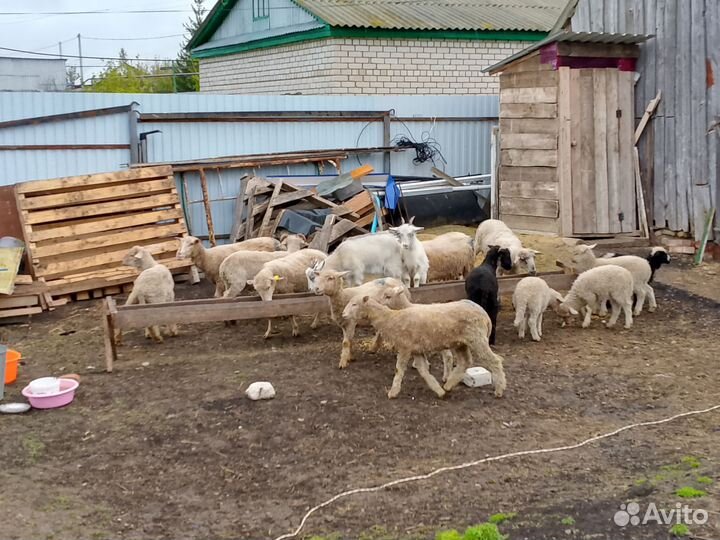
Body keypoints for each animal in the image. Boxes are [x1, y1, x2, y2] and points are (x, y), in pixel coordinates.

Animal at [342, 295, 506, 399]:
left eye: (355, 304)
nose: (343, 315)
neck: (391, 319)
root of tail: (484, 314)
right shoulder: (417, 350)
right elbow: (424, 371)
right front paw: (439, 391)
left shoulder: (405, 347)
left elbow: (399, 370)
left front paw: (393, 392)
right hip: (462, 342)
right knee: (465, 362)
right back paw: (448, 385)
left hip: (477, 339)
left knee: (495, 361)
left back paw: (499, 390)